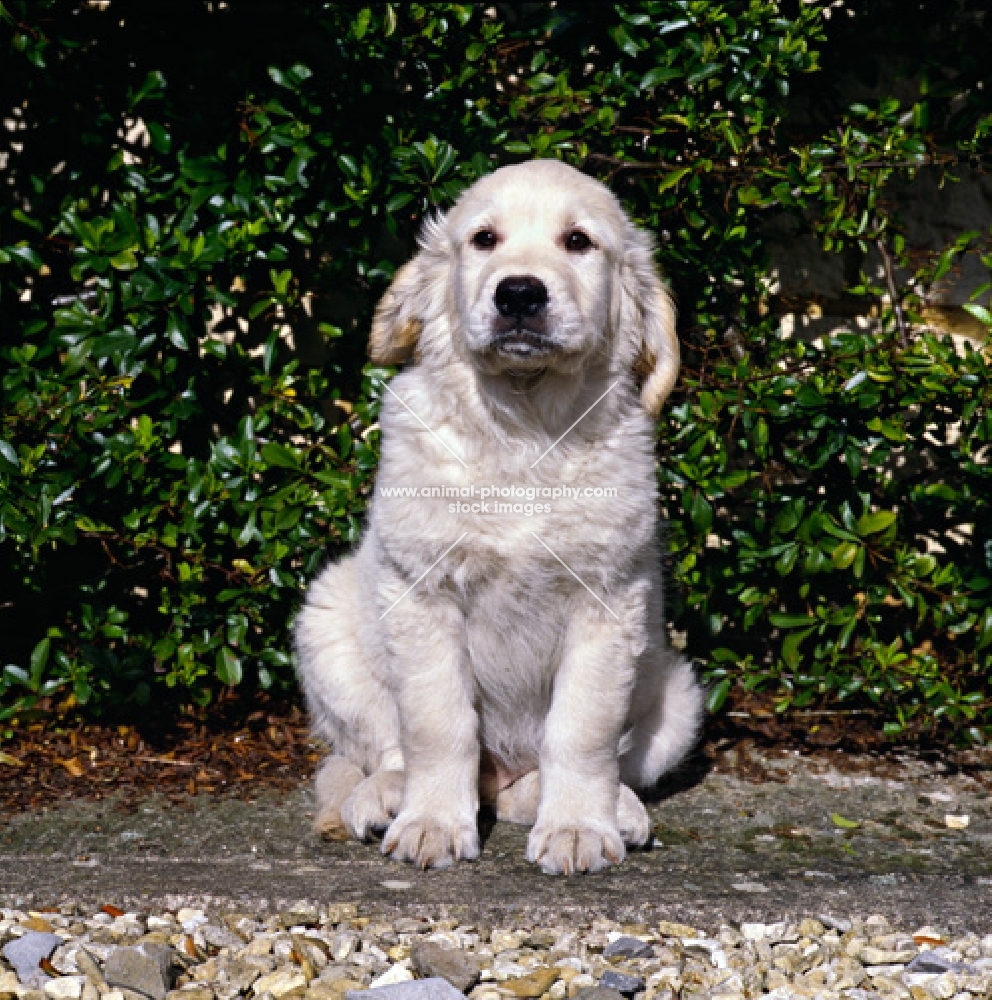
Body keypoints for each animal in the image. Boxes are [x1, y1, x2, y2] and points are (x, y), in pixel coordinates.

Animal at [296, 160, 704, 872]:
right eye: (484, 239)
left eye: (579, 242)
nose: (518, 294)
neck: (523, 429)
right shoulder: (423, 592)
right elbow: (437, 724)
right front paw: (432, 823)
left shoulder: (607, 603)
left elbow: (583, 728)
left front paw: (578, 827)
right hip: (328, 622)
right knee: (377, 749)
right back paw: (386, 798)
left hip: (676, 696)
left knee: (554, 775)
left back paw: (611, 808)